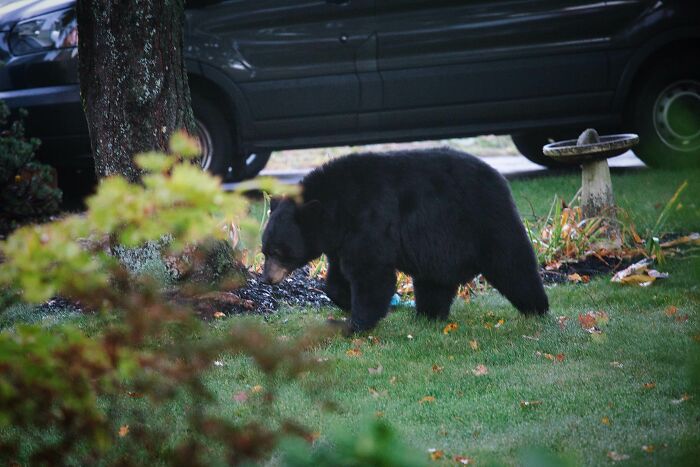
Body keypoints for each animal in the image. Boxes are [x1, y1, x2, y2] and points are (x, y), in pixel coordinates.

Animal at [261, 148, 548, 333]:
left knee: (513, 264)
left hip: (484, 221)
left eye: (278, 251)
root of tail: (499, 176)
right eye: (265, 251)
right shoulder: (341, 240)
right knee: (434, 281)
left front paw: (353, 324)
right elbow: (338, 276)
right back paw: (428, 315)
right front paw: (345, 300)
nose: (266, 279)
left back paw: (537, 309)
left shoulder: (370, 220)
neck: (337, 209)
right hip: (439, 246)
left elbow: (372, 275)